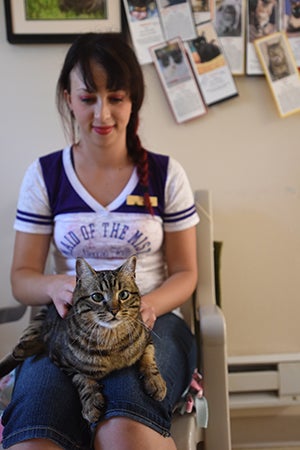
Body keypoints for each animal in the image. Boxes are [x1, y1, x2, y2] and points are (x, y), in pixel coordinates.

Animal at [0, 256, 166, 422]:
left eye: (123, 294)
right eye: (97, 297)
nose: (114, 310)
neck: (111, 340)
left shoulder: (147, 337)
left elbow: (149, 358)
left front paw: (155, 381)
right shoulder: (63, 362)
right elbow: (82, 378)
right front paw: (91, 402)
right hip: (39, 324)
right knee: (34, 341)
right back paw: (22, 349)